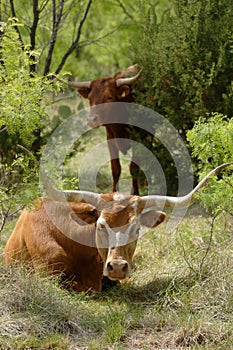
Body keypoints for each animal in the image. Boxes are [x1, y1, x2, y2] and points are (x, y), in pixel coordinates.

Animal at [68, 64, 143, 196]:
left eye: (109, 97)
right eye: (90, 98)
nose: (92, 120)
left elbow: (133, 168)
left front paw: (136, 194)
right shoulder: (110, 139)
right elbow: (115, 169)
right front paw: (113, 193)